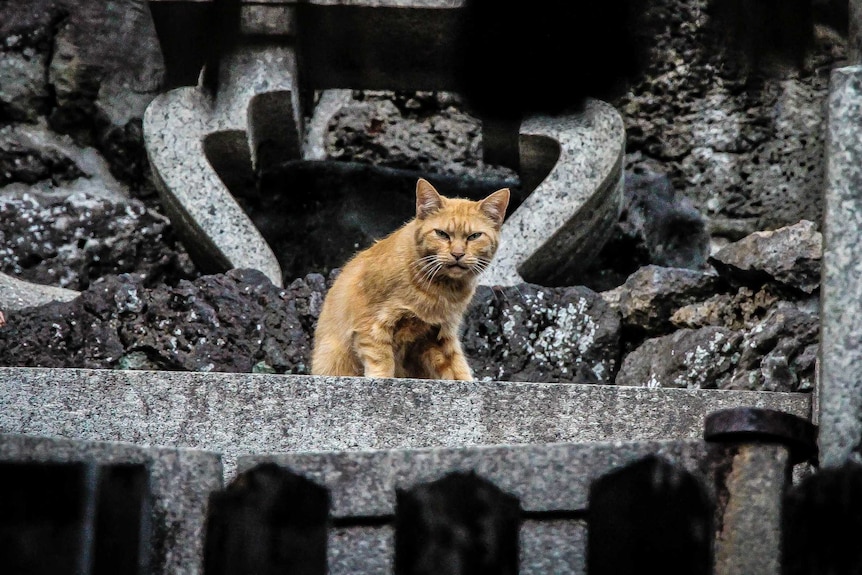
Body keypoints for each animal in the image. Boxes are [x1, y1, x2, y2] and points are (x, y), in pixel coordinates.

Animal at [312, 178, 510, 380]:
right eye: (442, 234)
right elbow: (382, 360)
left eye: (474, 236)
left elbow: (458, 367)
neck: (440, 290)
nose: (457, 254)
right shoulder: (371, 323)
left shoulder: (441, 334)